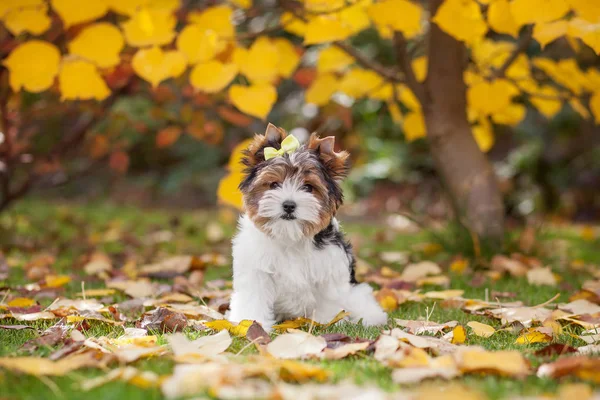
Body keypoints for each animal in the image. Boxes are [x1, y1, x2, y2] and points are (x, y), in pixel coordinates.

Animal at [226, 122, 390, 332]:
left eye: (308, 187)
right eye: (273, 184)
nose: (289, 205)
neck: (289, 235)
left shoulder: (329, 269)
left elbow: (328, 300)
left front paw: (325, 323)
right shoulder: (256, 270)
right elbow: (254, 297)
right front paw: (250, 322)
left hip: (355, 292)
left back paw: (370, 317)